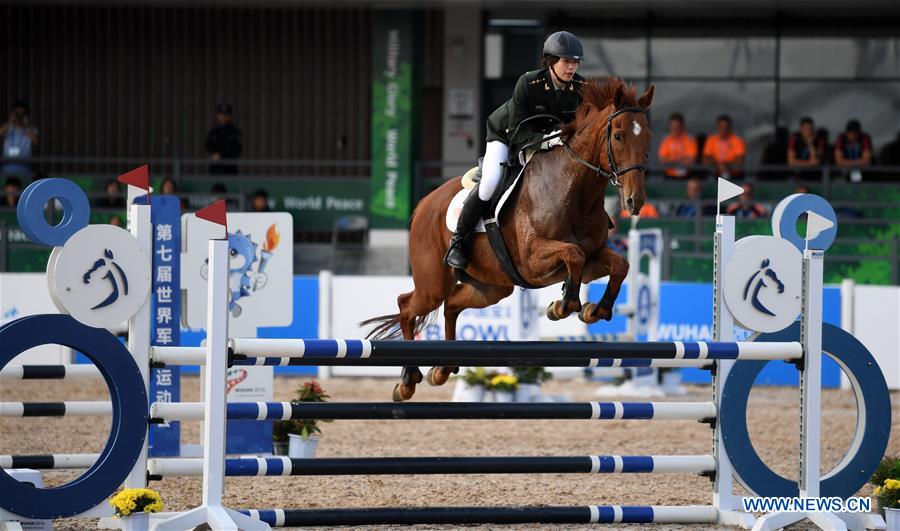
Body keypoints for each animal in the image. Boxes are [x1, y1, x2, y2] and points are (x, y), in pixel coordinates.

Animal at [364, 78, 652, 404]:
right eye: (618, 135)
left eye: (648, 138)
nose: (635, 201)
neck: (573, 188)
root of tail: (424, 203)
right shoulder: (533, 259)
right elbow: (572, 255)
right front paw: (563, 304)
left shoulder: (594, 257)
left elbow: (619, 265)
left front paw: (595, 309)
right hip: (433, 284)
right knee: (407, 305)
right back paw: (407, 380)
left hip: (491, 287)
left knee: (451, 305)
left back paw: (442, 368)